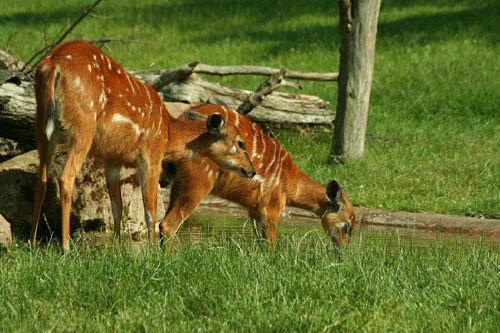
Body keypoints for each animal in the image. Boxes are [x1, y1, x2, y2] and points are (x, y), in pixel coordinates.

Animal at [31, 40, 256, 249]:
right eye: (240, 142)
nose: (252, 170)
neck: (167, 132)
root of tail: (53, 66)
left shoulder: (111, 158)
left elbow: (117, 206)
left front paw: (117, 249)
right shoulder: (151, 155)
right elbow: (151, 211)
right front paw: (153, 252)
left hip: (42, 123)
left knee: (41, 179)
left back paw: (33, 244)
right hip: (83, 124)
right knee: (65, 178)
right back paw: (65, 247)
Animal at [160, 104, 356, 246]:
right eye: (348, 225)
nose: (343, 251)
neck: (289, 184)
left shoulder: (254, 209)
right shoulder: (271, 208)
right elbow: (270, 245)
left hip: (177, 182)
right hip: (198, 182)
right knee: (167, 224)